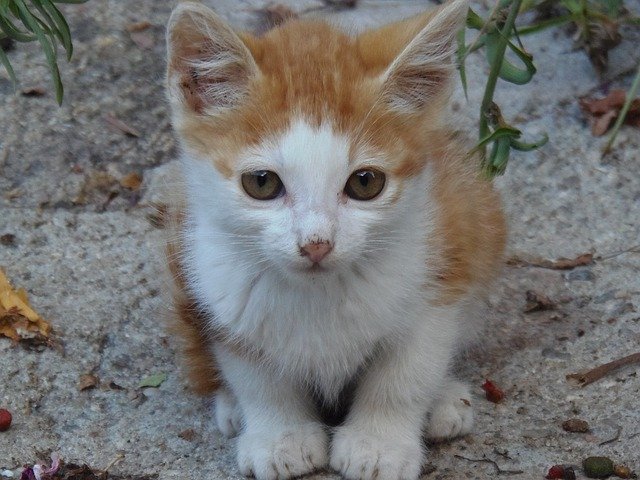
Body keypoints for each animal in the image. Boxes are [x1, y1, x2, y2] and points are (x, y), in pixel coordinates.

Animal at [164, 0, 504, 480]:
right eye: (262, 183)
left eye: (365, 182)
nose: (316, 244)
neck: (319, 292)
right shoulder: (216, 287)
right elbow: (257, 376)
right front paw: (280, 436)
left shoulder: (442, 274)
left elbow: (406, 372)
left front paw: (378, 444)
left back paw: (444, 399)